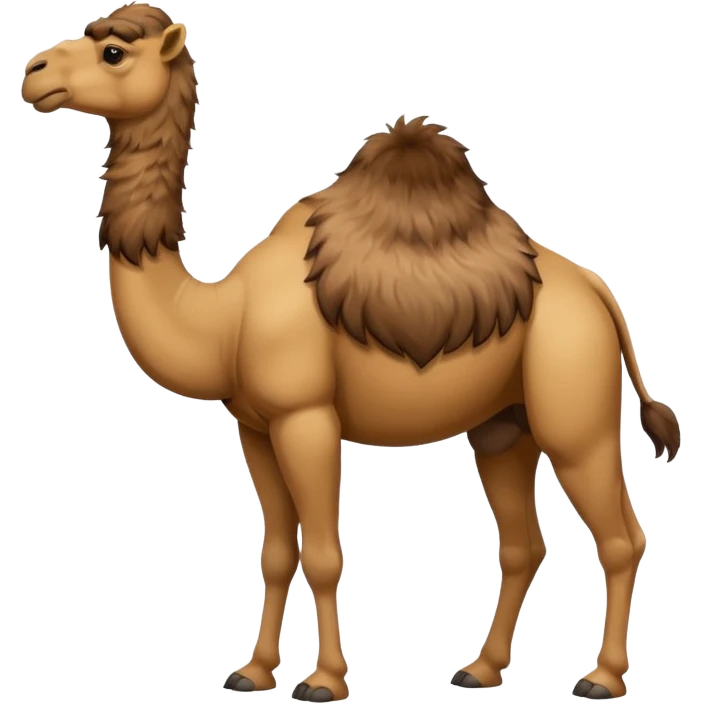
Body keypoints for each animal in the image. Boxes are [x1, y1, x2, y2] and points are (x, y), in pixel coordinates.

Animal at [21, 3, 681, 702]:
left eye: (113, 53)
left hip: (573, 403)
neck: (224, 316)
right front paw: (253, 672)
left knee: (620, 536)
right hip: (504, 425)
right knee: (523, 543)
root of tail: (599, 293)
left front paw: (324, 681)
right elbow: (276, 553)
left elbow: (322, 555)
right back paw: (480, 669)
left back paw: (602, 678)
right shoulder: (255, 428)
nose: (34, 73)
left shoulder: (306, 417)